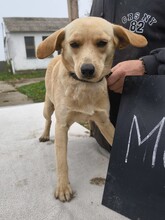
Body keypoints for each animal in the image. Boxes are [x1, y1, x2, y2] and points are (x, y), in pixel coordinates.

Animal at [36, 16, 148, 202]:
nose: (87, 70)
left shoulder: (105, 122)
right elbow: (62, 161)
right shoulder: (61, 126)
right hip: (48, 106)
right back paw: (44, 134)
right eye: (73, 44)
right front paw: (63, 187)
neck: (84, 88)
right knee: (48, 120)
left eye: (102, 43)